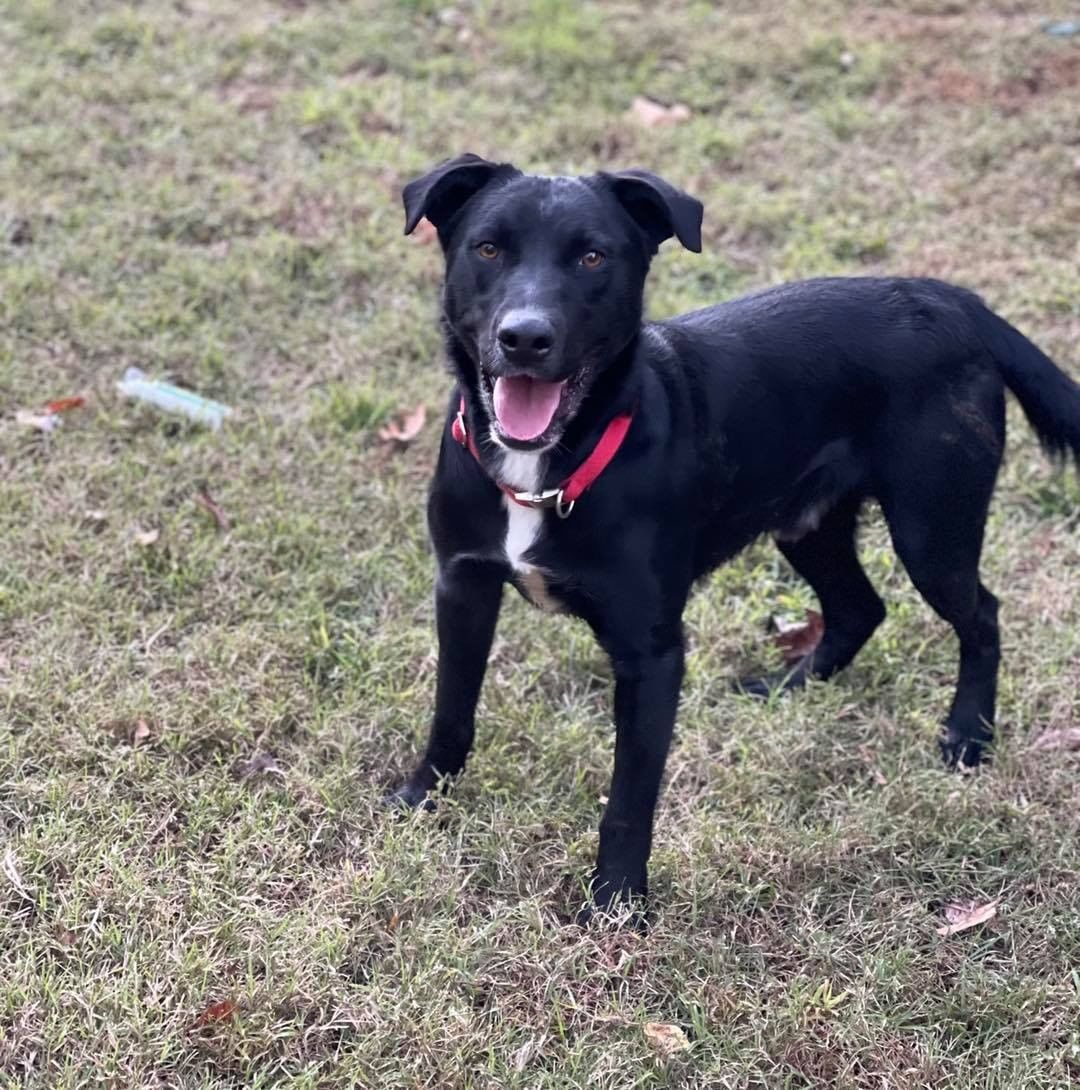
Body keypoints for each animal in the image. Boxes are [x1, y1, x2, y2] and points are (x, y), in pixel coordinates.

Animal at [390, 153, 1080, 919]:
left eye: (593, 256)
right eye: (487, 249)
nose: (525, 337)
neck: (550, 467)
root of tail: (954, 299)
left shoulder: (651, 652)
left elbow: (629, 797)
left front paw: (617, 902)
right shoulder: (462, 587)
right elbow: (451, 710)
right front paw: (422, 797)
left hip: (932, 529)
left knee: (980, 615)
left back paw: (967, 736)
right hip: (807, 525)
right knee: (860, 608)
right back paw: (791, 687)